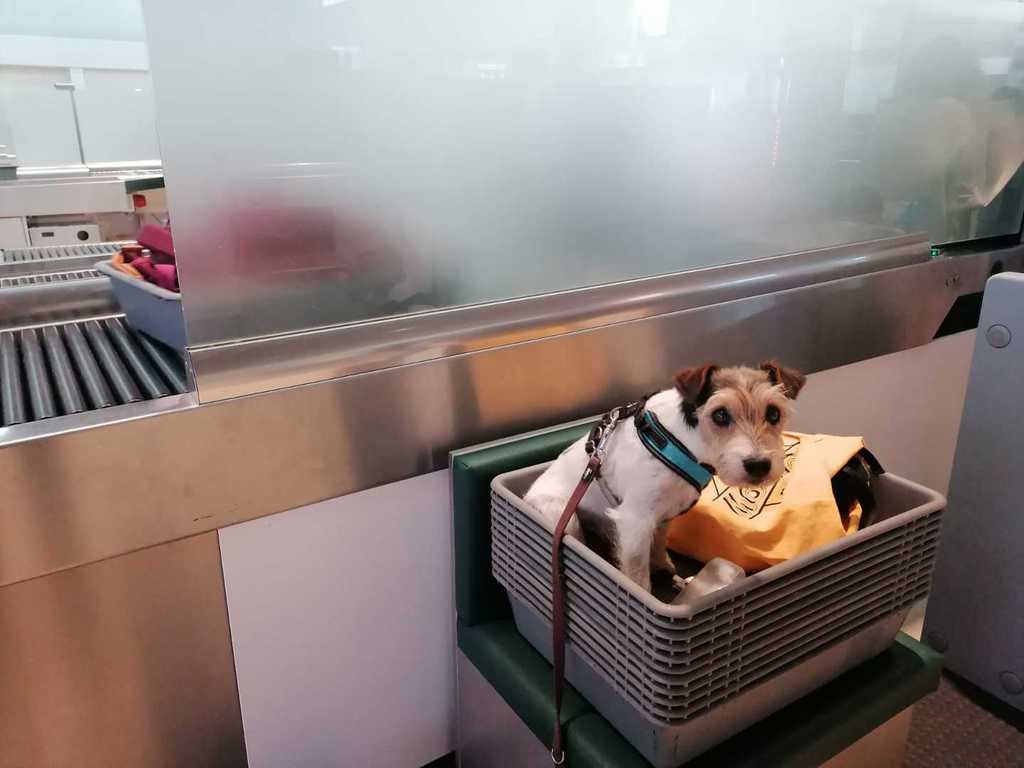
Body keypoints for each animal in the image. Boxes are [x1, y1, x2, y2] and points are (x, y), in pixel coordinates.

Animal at [525, 362, 805, 592]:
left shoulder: (661, 515)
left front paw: (664, 567)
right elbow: (638, 577)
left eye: (774, 413)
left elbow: (659, 544)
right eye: (720, 414)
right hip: (563, 515)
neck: (683, 440)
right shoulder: (635, 521)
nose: (759, 465)